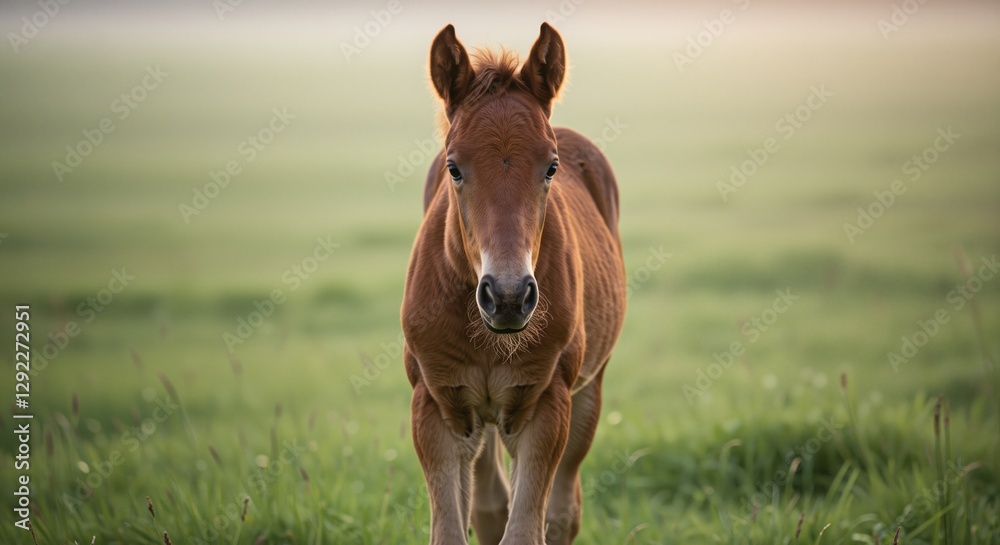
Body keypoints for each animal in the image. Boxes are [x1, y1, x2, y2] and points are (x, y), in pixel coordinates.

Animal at [401, 23, 626, 545]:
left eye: (551, 167)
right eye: (454, 167)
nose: (507, 297)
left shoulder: (546, 404)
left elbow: (527, 528)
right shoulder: (434, 403)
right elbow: (455, 528)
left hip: (588, 389)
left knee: (563, 511)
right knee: (489, 505)